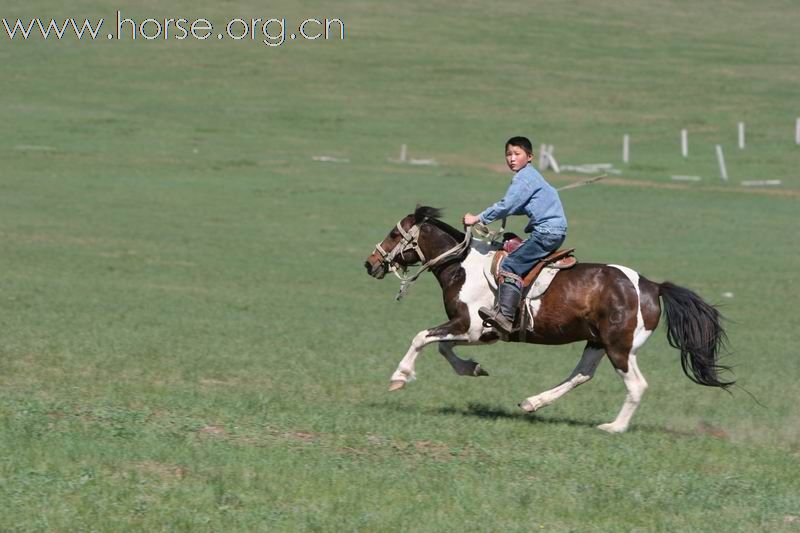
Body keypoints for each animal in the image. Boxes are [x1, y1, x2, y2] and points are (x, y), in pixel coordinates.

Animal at [362, 205, 732, 432]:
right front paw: (473, 368)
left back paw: (614, 427)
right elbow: (442, 347)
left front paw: (399, 377)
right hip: (596, 341)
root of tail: (652, 286)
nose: (370, 263)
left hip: (619, 347)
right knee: (581, 375)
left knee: (635, 385)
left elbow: (422, 338)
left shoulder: (469, 327)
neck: (462, 266)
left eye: (394, 234)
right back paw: (532, 402)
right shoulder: (473, 332)